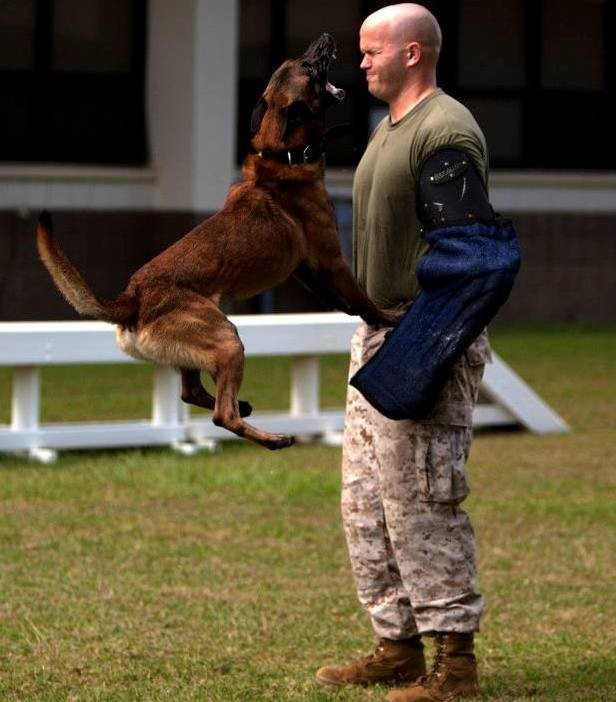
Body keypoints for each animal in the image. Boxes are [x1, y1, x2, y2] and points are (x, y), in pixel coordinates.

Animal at [37, 33, 400, 448]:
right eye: (308, 67)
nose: (324, 39)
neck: (282, 155)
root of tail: (134, 298)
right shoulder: (331, 260)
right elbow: (362, 297)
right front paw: (388, 317)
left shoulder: (306, 268)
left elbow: (342, 300)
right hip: (227, 339)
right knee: (220, 414)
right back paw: (272, 437)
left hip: (199, 348)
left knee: (191, 393)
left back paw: (244, 407)